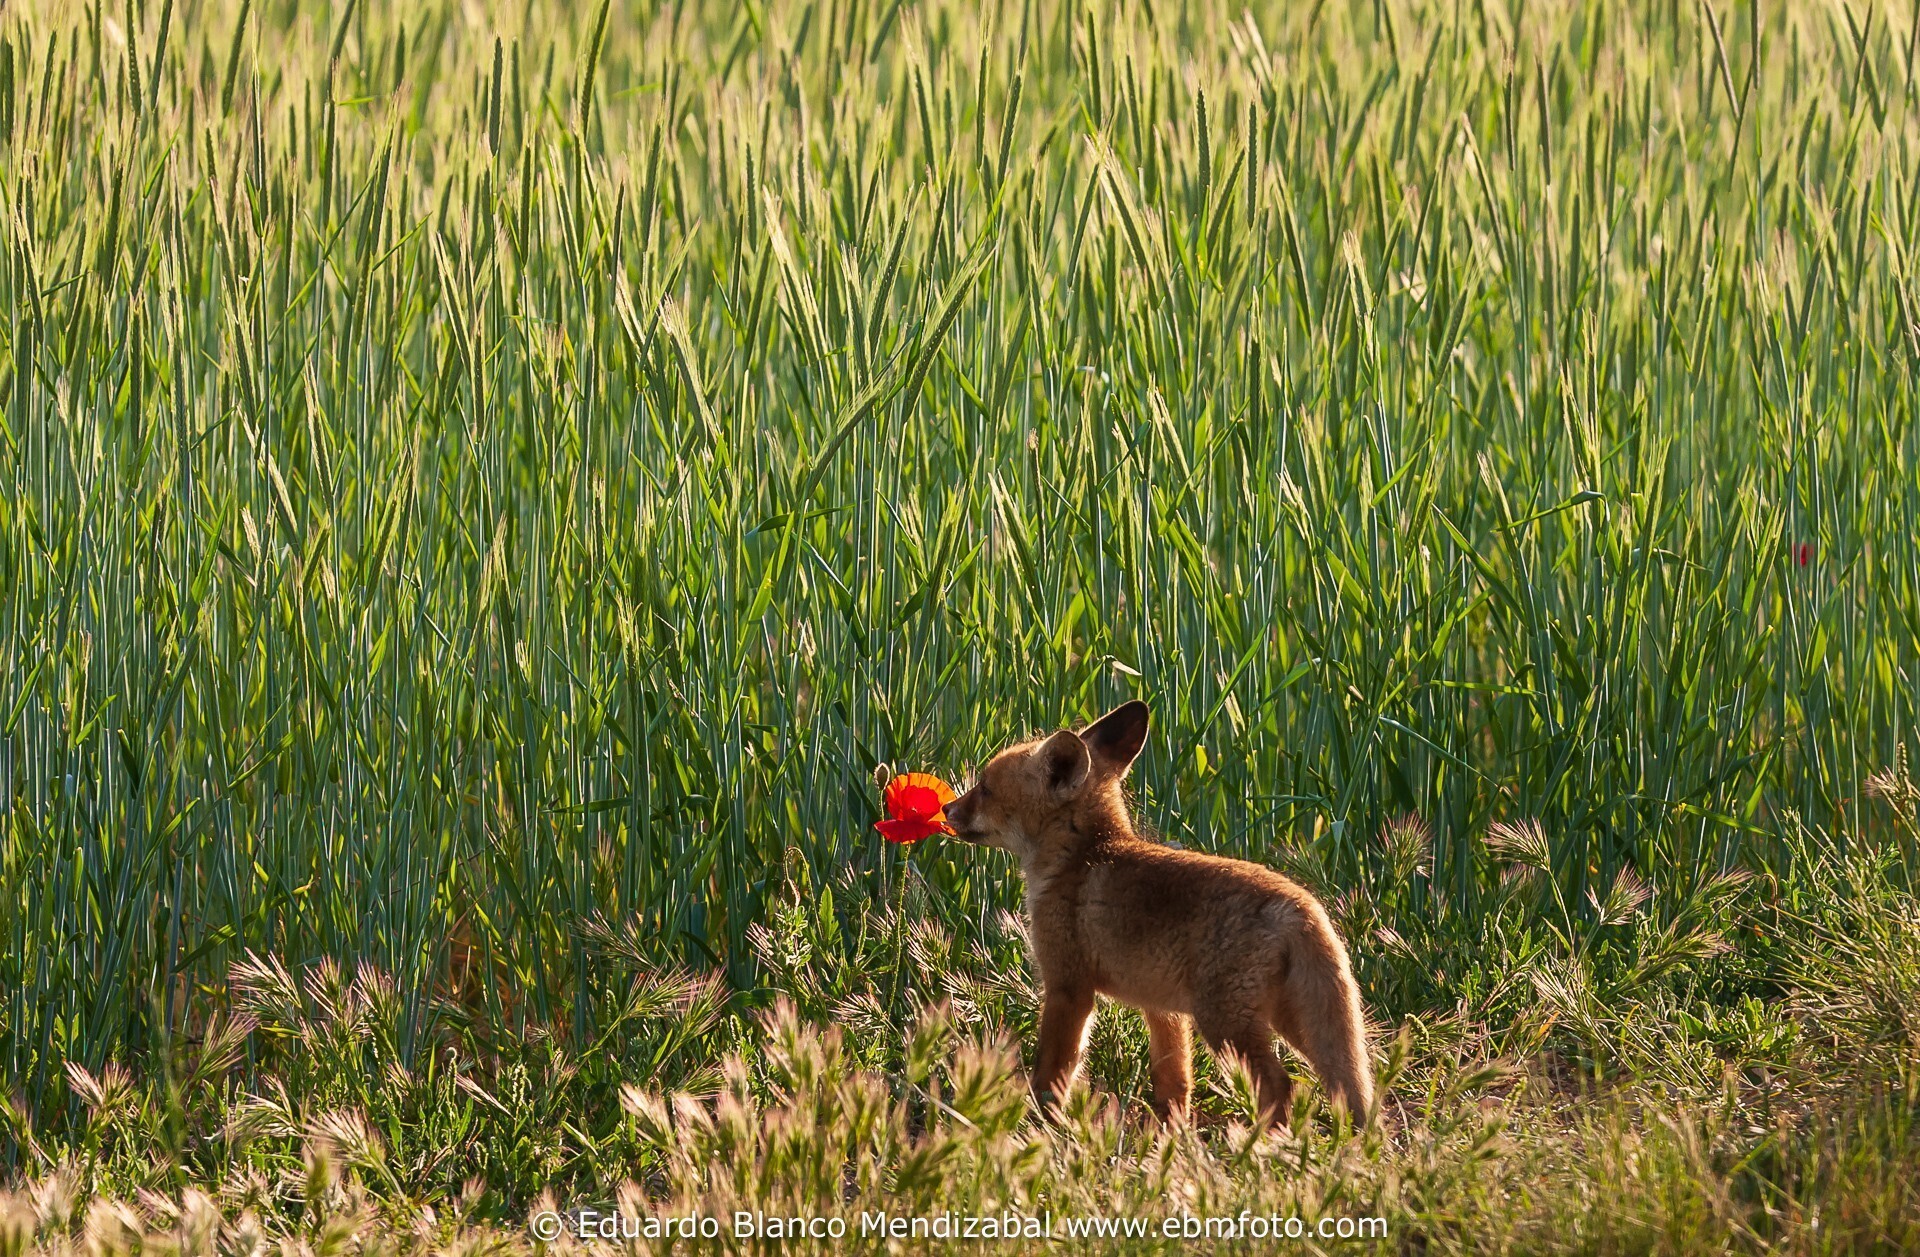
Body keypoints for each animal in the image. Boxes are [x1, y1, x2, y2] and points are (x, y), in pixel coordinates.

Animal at [942, 700, 1373, 1128]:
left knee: (1283, 1087)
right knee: (1340, 1084)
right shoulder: (1163, 1009)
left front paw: (1039, 1122)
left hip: (1226, 1023)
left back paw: (1267, 1144)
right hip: (1291, 1024)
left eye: (985, 788)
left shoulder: (1068, 986)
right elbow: (1174, 1080)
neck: (1078, 860)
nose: (946, 807)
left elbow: (1053, 1071)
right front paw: (1171, 1133)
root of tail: (1302, 904)